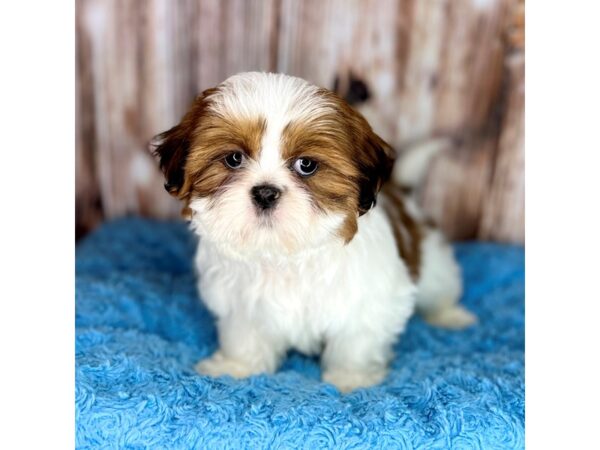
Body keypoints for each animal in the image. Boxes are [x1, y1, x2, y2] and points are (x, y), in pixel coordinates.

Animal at [155, 72, 478, 392]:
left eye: (306, 165)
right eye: (234, 158)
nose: (265, 192)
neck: (283, 255)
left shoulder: (369, 298)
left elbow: (356, 341)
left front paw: (351, 378)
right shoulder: (241, 303)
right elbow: (245, 335)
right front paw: (238, 367)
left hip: (434, 266)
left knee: (439, 290)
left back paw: (449, 315)